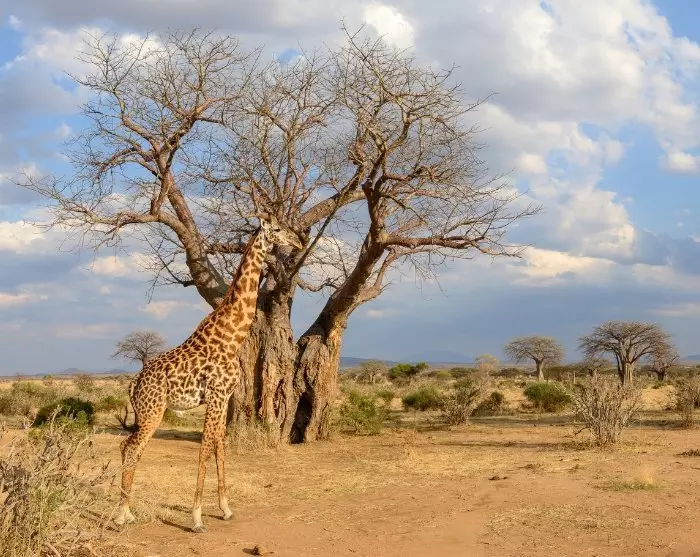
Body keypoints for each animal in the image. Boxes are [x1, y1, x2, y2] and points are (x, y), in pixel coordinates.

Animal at [114, 214, 302, 533]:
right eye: (277, 229)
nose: (299, 241)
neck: (233, 335)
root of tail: (136, 381)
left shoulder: (224, 397)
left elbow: (219, 445)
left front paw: (225, 509)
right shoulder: (215, 395)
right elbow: (204, 448)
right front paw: (197, 517)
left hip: (148, 412)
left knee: (129, 447)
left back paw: (127, 511)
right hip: (153, 411)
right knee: (130, 447)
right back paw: (121, 514)